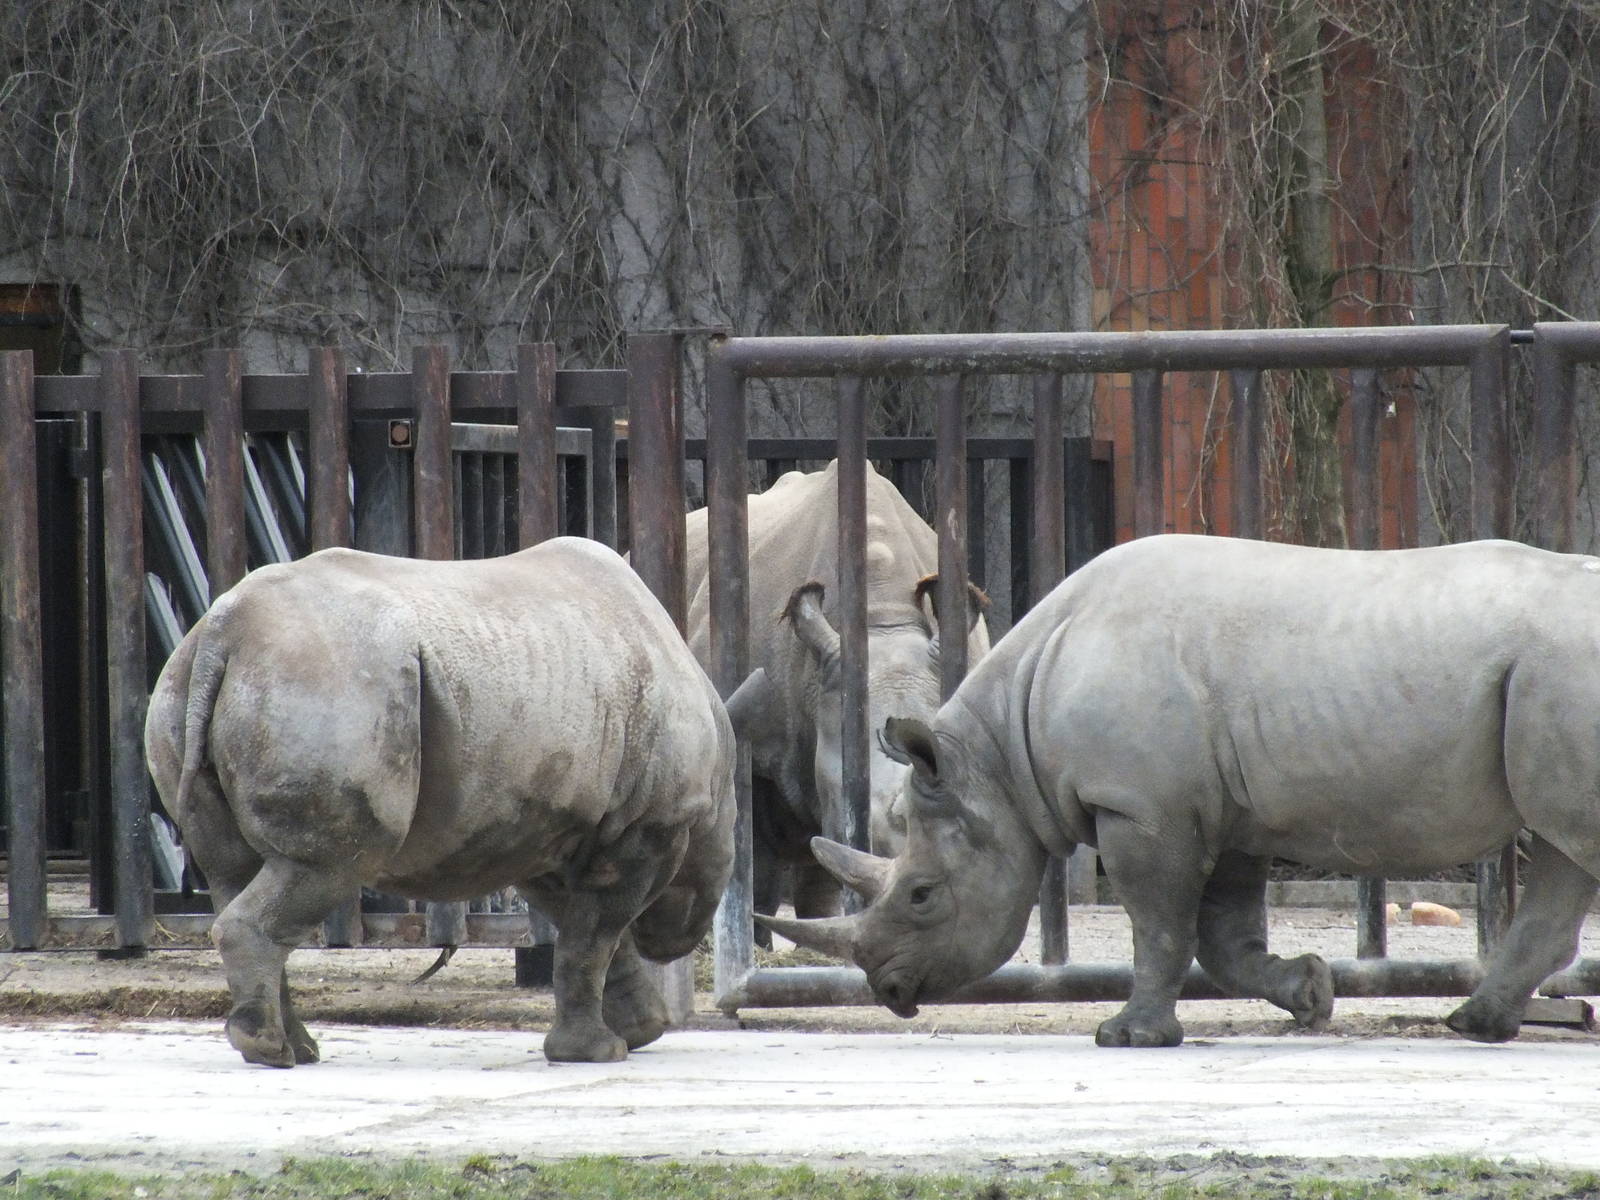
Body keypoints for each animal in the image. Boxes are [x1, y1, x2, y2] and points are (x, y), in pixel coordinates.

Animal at [145, 537, 740, 1067]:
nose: (677, 941)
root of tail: (223, 632)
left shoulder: (541, 830)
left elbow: (585, 932)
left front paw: (640, 1031)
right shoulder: (648, 826)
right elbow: (596, 934)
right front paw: (601, 1053)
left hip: (194, 688)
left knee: (233, 869)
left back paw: (295, 1050)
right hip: (329, 686)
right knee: (327, 863)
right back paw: (270, 1051)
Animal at [766, 534, 1600, 1046]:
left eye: (921, 896)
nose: (889, 989)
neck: (1001, 758)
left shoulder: (1142, 807)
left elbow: (1158, 922)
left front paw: (1127, 1037)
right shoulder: (1223, 811)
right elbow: (1223, 941)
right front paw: (1311, 992)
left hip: (1560, 668)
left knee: (1571, 840)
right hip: (1547, 679)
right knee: (1565, 850)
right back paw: (1477, 1024)